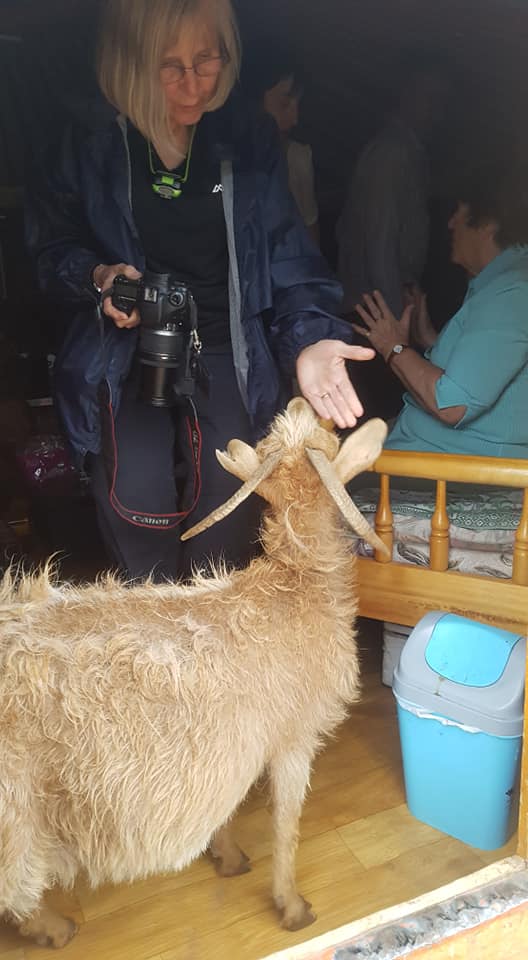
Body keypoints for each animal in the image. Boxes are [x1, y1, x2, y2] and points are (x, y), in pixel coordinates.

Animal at [0, 397, 387, 948]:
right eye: (329, 436)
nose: (301, 398)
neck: (296, 586)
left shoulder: (234, 742)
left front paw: (226, 855)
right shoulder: (293, 738)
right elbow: (286, 825)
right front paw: (292, 906)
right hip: (15, 815)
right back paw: (55, 928)